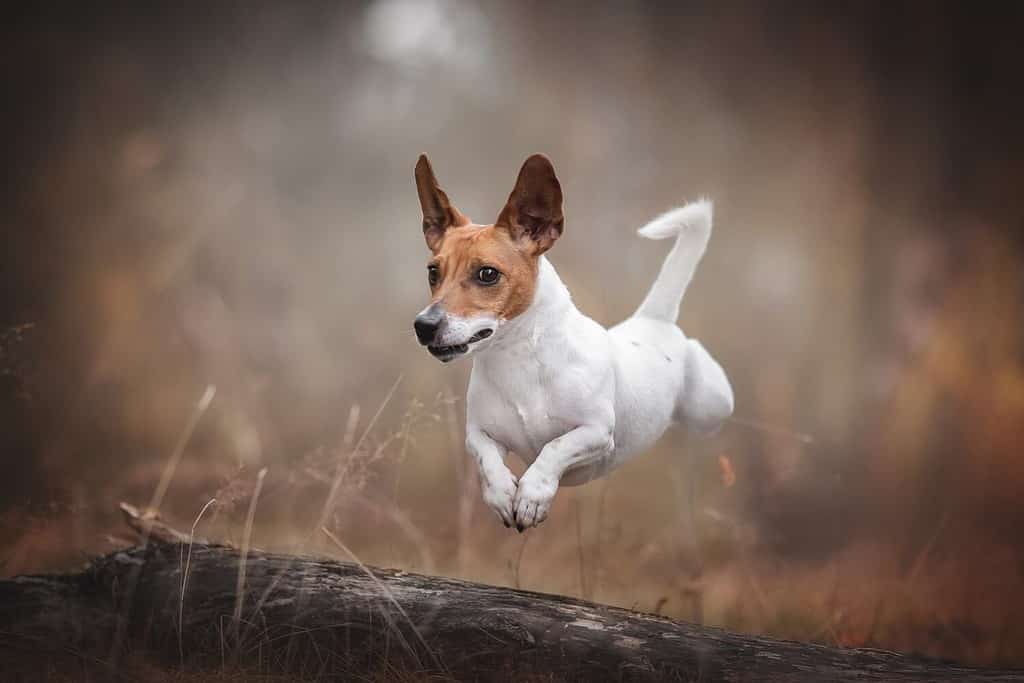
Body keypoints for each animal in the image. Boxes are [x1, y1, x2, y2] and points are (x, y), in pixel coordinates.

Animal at [411, 156, 733, 532]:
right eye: (433, 272)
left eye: (487, 274)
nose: (424, 326)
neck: (518, 361)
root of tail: (654, 318)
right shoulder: (479, 434)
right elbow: (486, 459)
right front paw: (502, 494)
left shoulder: (596, 432)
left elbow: (554, 449)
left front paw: (533, 495)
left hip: (711, 407)